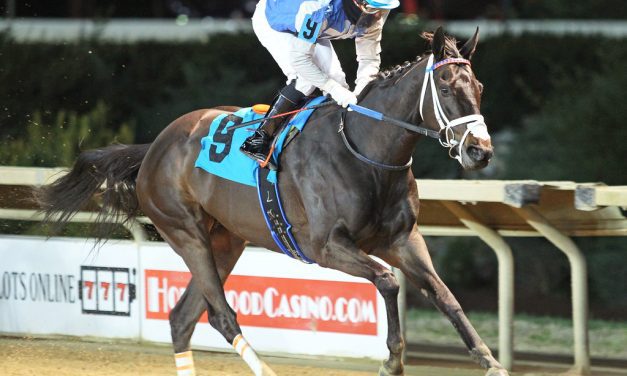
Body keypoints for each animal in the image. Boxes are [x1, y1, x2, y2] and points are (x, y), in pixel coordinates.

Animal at [35, 27, 506, 376]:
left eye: (480, 86)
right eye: (445, 86)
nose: (480, 151)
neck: (366, 150)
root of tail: (154, 147)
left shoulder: (403, 239)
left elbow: (444, 294)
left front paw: (489, 360)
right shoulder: (325, 246)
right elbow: (389, 281)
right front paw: (392, 359)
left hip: (226, 240)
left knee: (182, 319)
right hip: (185, 231)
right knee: (221, 315)